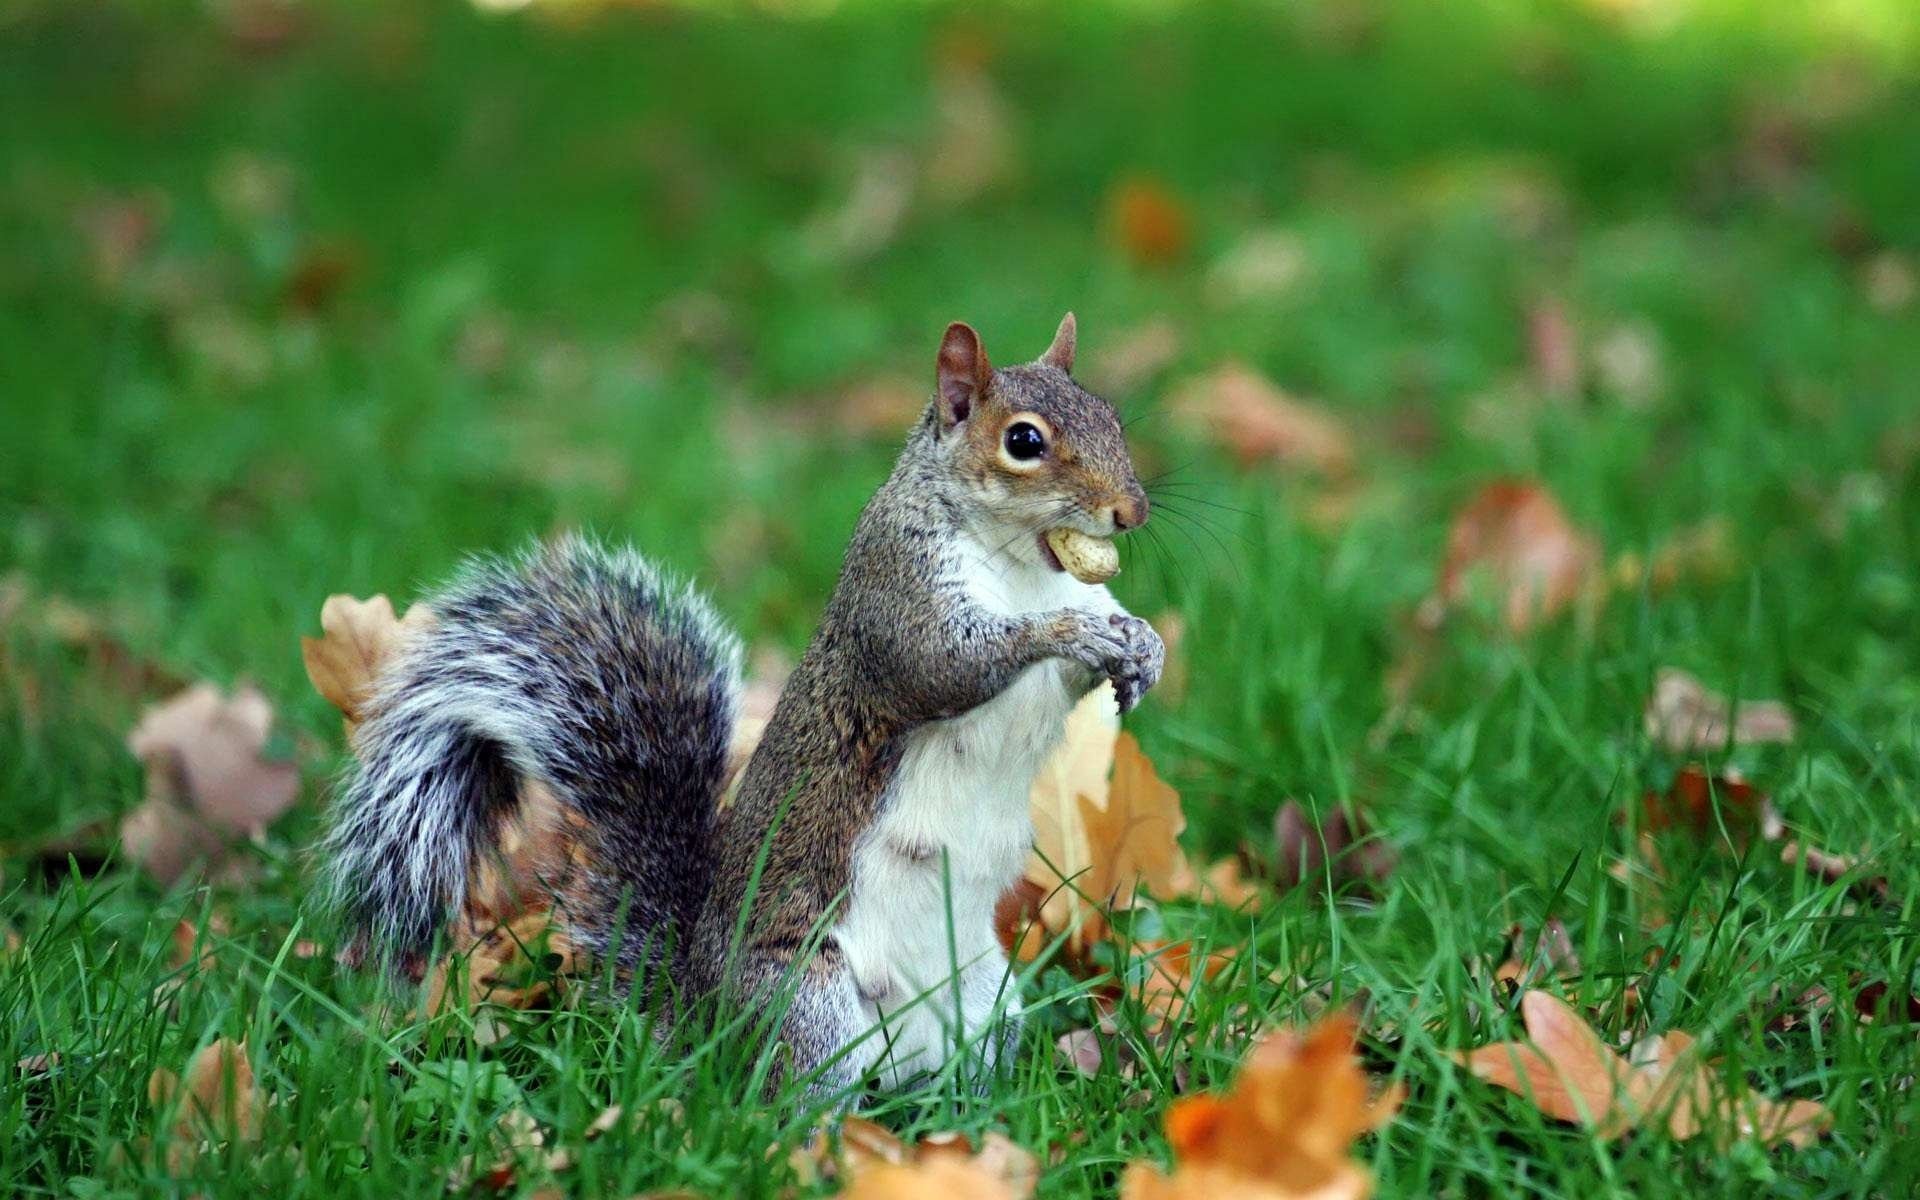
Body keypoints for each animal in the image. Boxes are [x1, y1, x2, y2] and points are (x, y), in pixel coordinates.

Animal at [324, 316, 1159, 1098]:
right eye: (1024, 441)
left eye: (1111, 416)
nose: (1132, 511)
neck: (1026, 562)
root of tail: (698, 1017)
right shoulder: (896, 591)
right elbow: (944, 666)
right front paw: (1070, 632)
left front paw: (1142, 647)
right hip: (807, 1001)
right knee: (793, 1101)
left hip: (985, 998)